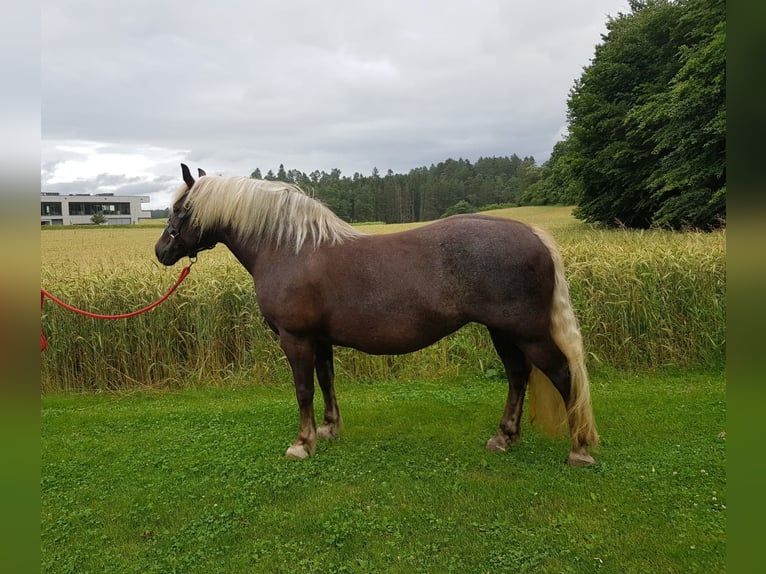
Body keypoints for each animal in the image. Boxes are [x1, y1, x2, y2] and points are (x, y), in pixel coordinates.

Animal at [154, 164, 600, 466]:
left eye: (180, 209)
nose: (161, 250)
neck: (289, 248)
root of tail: (532, 233)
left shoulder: (295, 338)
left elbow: (303, 389)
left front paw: (302, 443)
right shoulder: (320, 339)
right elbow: (326, 381)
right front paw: (328, 429)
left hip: (527, 333)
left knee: (562, 375)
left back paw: (579, 449)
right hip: (503, 332)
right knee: (518, 376)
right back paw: (504, 438)